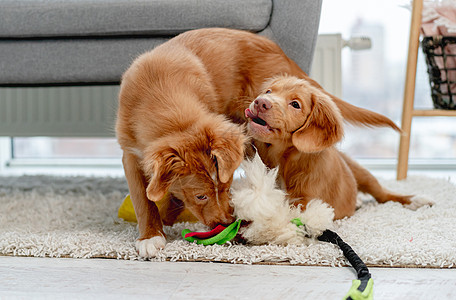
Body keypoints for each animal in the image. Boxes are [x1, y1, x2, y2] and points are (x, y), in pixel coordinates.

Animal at [117, 28, 406, 258]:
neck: (161, 91)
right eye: (201, 196)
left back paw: (407, 199)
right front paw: (151, 233)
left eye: (227, 187)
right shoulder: (129, 152)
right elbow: (143, 198)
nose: (228, 221)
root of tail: (282, 54)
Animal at [246, 75, 432, 218]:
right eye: (268, 91)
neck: (283, 158)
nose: (260, 102)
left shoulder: (310, 201)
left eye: (295, 104)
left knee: (383, 194)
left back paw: (415, 200)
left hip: (362, 173)